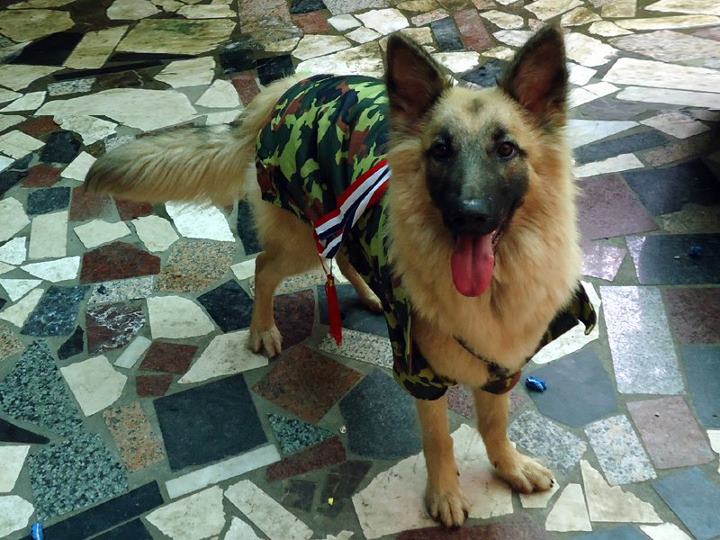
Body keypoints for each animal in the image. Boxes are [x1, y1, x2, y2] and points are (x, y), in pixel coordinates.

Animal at [86, 26, 596, 527]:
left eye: (506, 149)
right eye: (441, 151)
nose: (468, 217)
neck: (494, 288)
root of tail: (288, 87)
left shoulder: (500, 368)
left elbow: (494, 425)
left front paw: (509, 468)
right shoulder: (420, 375)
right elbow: (439, 440)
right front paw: (445, 493)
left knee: (347, 257)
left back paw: (371, 294)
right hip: (299, 241)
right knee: (264, 268)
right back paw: (263, 329)